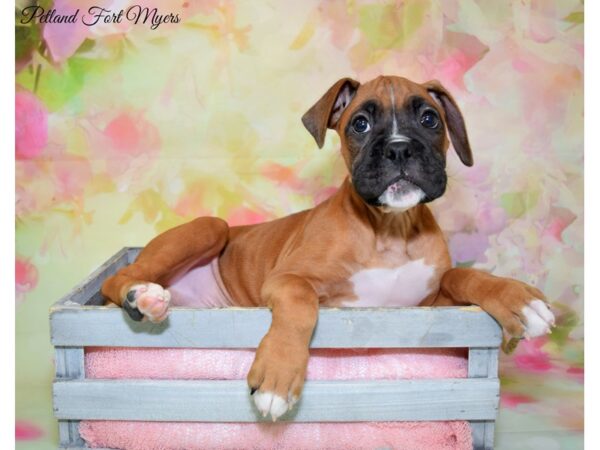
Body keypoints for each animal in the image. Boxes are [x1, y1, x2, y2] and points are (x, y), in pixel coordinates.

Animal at [101, 74, 556, 422]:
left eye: (429, 119)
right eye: (360, 125)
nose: (399, 148)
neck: (390, 230)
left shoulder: (427, 305)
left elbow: (463, 274)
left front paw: (516, 299)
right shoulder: (287, 279)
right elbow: (301, 305)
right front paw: (278, 375)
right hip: (209, 227)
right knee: (117, 279)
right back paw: (141, 297)